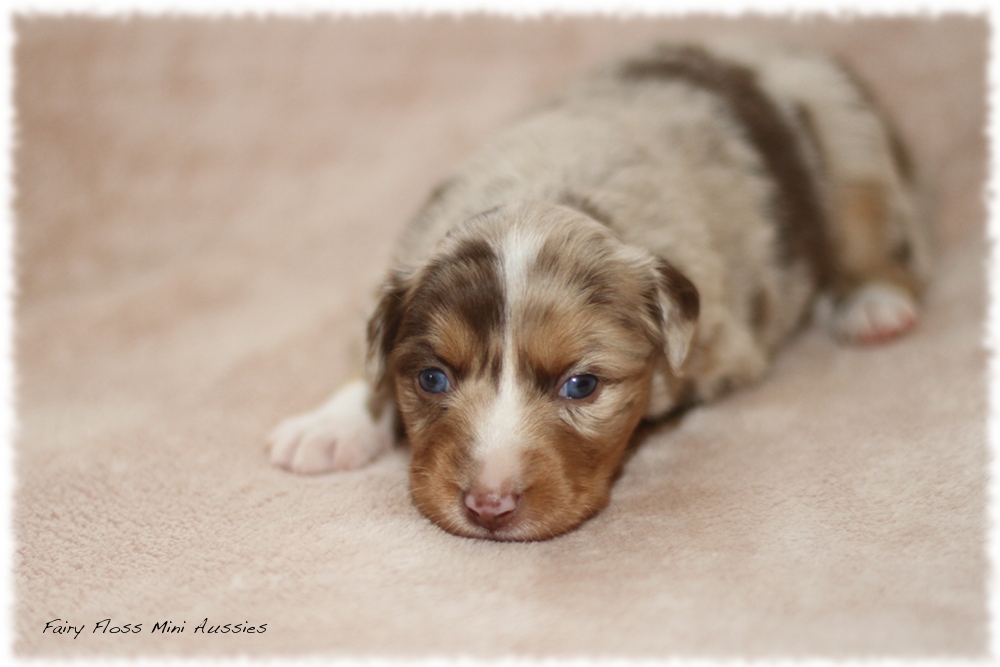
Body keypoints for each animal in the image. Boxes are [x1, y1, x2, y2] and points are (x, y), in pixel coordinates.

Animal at [268, 40, 928, 544]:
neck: (552, 189)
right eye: (432, 379)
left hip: (848, 136)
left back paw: (874, 304)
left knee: (872, 227)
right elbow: (370, 361)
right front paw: (328, 425)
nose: (488, 504)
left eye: (581, 386)